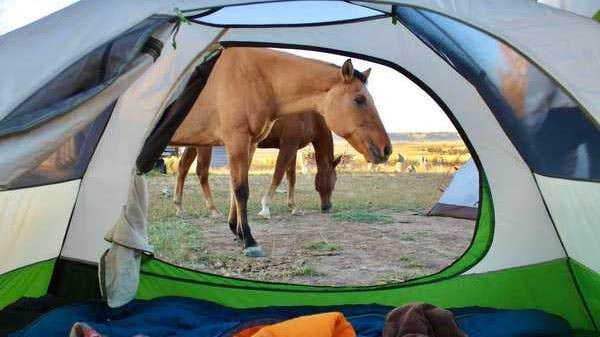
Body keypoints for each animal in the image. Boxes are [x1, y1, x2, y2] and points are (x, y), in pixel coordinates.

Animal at [173, 111, 342, 218]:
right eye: (334, 180)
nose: (327, 207)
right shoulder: (288, 144)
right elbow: (278, 173)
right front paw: (265, 207)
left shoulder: (293, 147)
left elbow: (291, 177)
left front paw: (293, 207)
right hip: (205, 145)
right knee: (202, 172)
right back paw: (213, 210)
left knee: (183, 167)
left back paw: (179, 207)